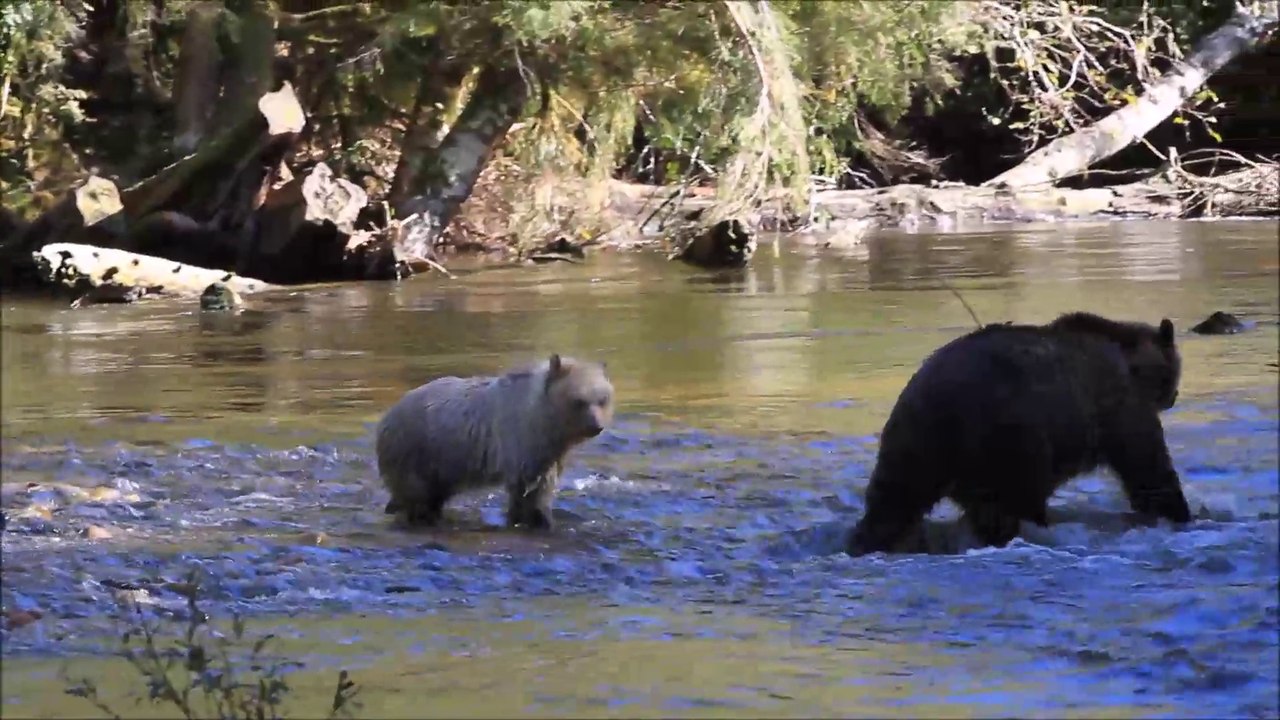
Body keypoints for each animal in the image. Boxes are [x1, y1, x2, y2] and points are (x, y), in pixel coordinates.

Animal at [375, 354, 614, 531]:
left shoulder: (550, 451)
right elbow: (526, 489)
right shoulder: (520, 442)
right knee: (417, 496)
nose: (597, 426)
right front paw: (528, 518)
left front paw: (542, 518)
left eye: (602, 399)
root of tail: (386, 418)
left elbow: (543, 486)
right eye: (579, 401)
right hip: (416, 451)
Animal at [846, 311, 1192, 556]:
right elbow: (1147, 467)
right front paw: (1178, 513)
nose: (1174, 396)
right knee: (1013, 504)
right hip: (1011, 439)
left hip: (912, 439)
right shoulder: (1118, 405)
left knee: (891, 503)